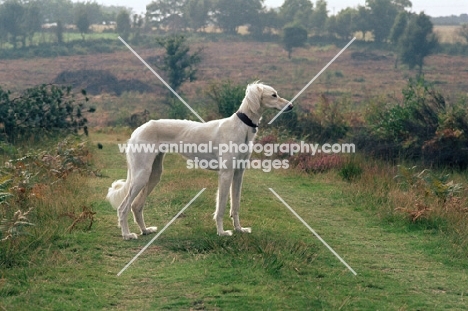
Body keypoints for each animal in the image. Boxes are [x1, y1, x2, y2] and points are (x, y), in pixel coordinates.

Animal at [106, 81, 292, 240]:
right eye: (274, 95)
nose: (291, 106)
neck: (241, 126)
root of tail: (137, 130)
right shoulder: (226, 174)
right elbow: (221, 207)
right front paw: (222, 232)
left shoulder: (239, 173)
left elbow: (236, 205)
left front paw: (239, 229)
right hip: (142, 174)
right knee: (123, 207)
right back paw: (127, 234)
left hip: (154, 174)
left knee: (136, 205)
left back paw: (145, 230)